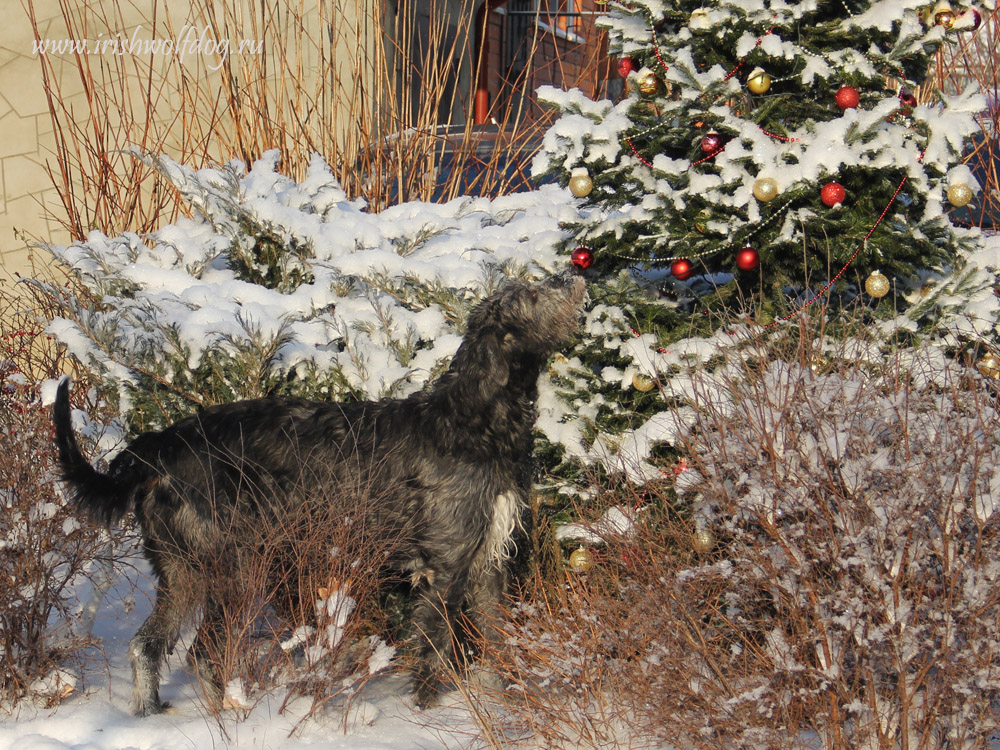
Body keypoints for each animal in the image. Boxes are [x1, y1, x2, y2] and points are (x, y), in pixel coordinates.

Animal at [52, 274, 584, 716]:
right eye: (532, 293)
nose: (574, 273)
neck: (474, 419)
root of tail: (158, 447)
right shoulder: (445, 567)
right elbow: (434, 646)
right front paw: (427, 713)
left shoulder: (489, 562)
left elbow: (497, 633)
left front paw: (502, 696)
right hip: (233, 568)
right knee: (203, 651)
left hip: (184, 570)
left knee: (147, 645)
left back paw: (154, 713)